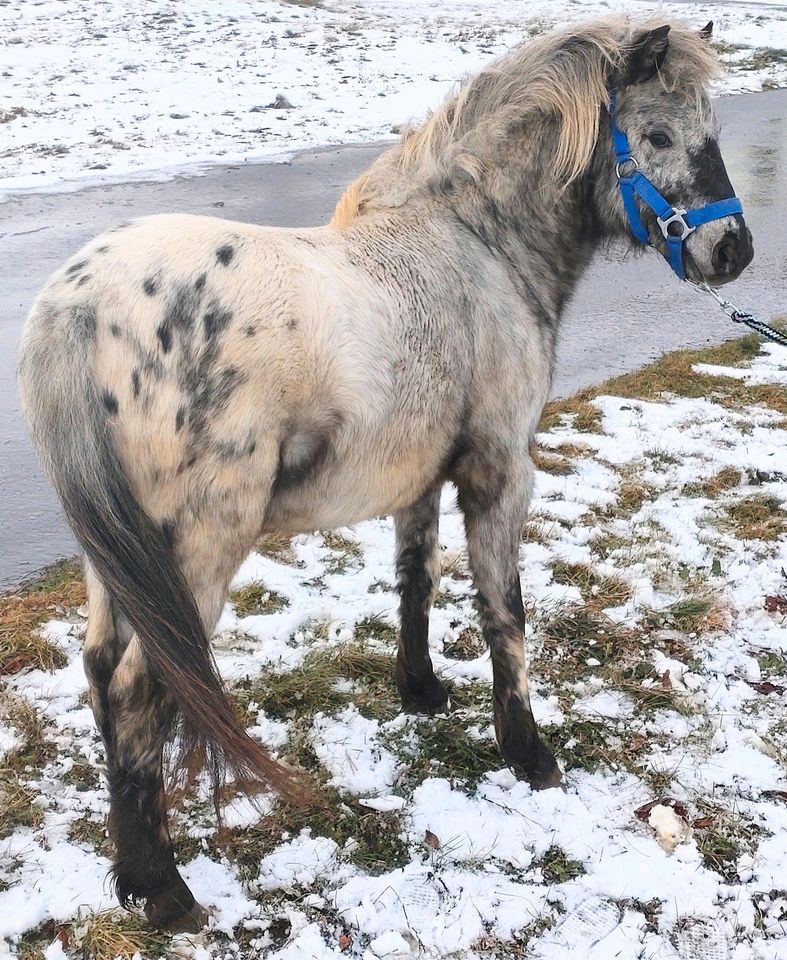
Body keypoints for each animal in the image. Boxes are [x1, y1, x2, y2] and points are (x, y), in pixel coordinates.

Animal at [18, 15, 756, 928]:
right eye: (656, 135)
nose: (731, 249)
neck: (475, 251)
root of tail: (77, 305)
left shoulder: (421, 478)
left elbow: (416, 580)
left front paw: (420, 690)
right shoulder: (500, 473)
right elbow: (504, 612)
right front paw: (528, 753)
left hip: (117, 554)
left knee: (98, 672)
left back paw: (132, 867)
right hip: (198, 548)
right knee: (134, 688)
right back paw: (162, 888)